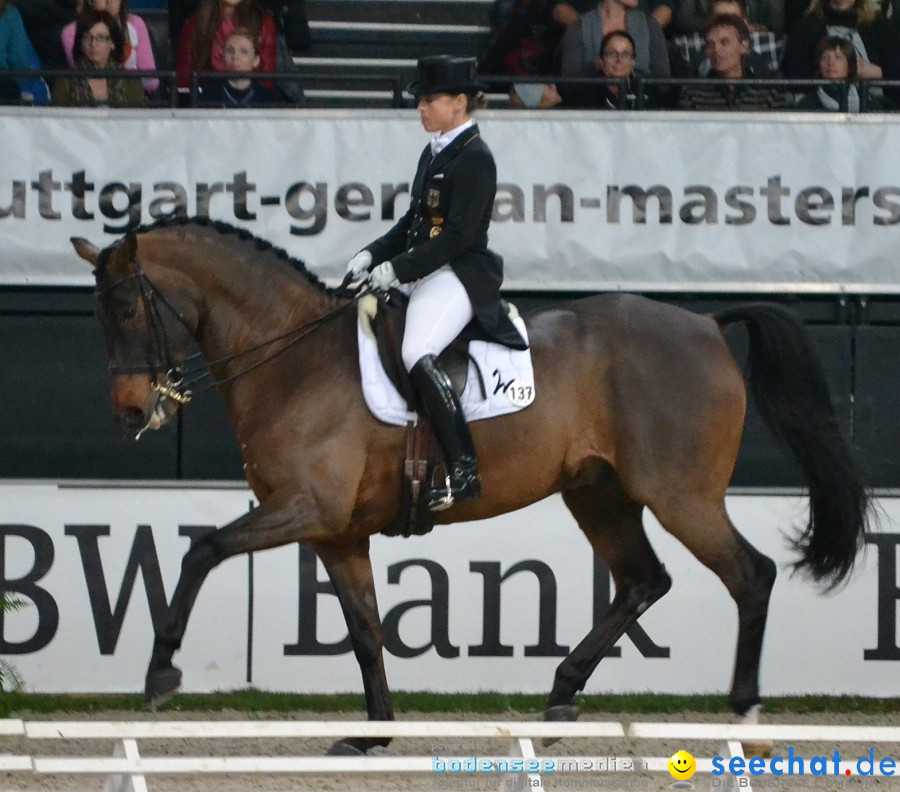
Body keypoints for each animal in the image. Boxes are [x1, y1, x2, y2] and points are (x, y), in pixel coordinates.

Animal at [74, 217, 868, 756]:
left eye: (126, 309)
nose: (128, 412)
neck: (290, 359)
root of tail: (705, 320)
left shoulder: (304, 508)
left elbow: (201, 551)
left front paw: (160, 672)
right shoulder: (336, 532)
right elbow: (365, 631)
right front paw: (376, 737)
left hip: (681, 495)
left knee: (749, 575)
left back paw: (745, 717)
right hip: (599, 493)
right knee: (645, 581)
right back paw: (559, 702)